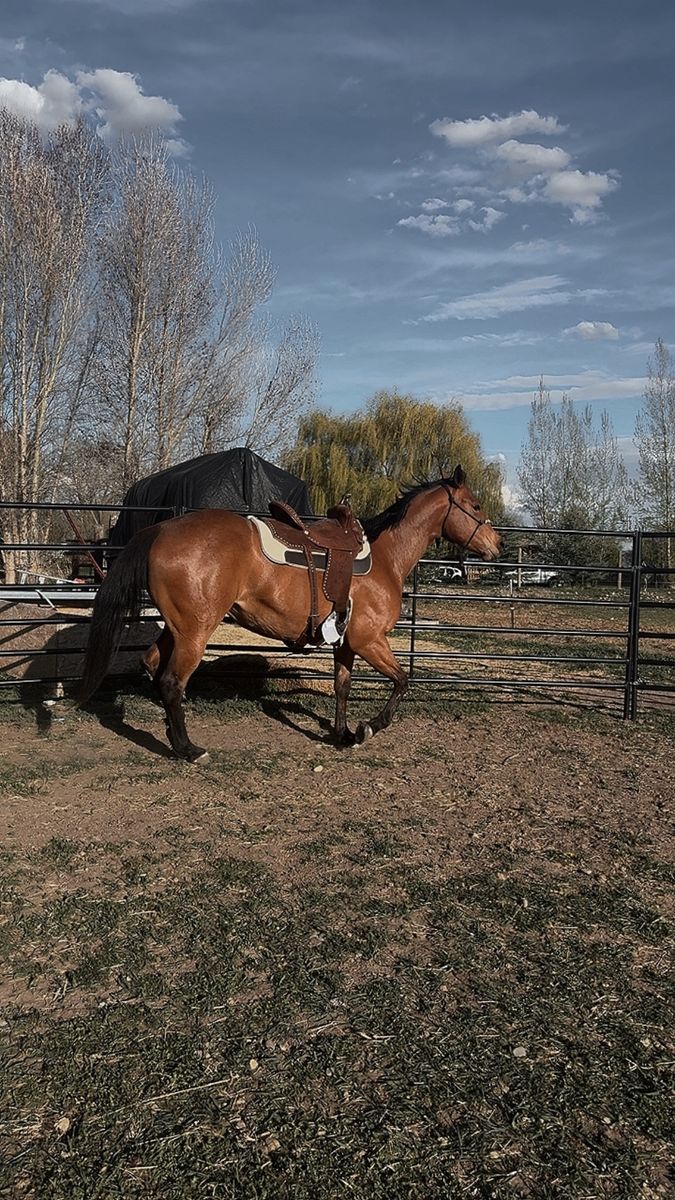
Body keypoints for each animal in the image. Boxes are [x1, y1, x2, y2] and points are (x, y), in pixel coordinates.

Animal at [79, 465, 502, 761]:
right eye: (476, 506)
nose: (497, 545)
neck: (385, 557)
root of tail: (162, 529)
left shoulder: (346, 644)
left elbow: (343, 686)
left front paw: (343, 734)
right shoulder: (369, 640)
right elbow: (401, 680)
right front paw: (368, 728)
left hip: (178, 628)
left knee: (152, 665)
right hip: (195, 633)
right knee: (171, 682)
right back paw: (188, 749)